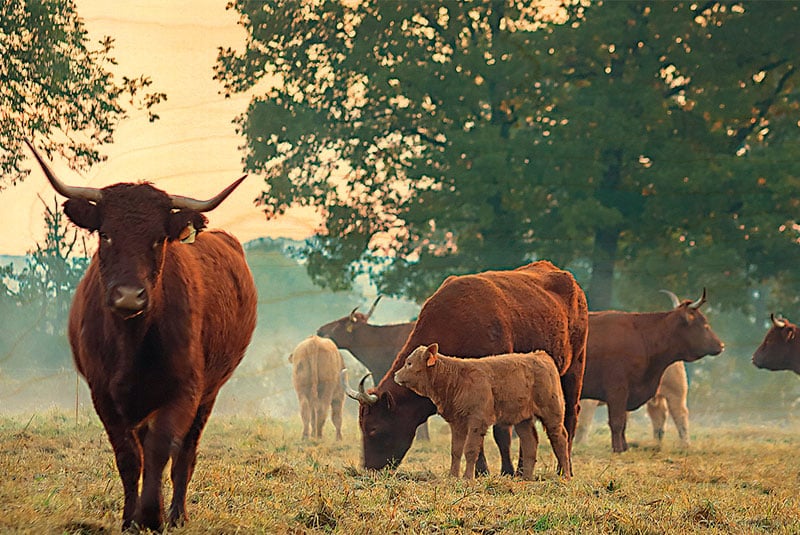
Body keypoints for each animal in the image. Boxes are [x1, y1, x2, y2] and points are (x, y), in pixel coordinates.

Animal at [26, 140, 257, 531]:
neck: (131, 342)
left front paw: (152, 515)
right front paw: (130, 519)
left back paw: (177, 514)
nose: (128, 296)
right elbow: (128, 457)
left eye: (158, 240)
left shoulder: (185, 390)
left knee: (185, 454)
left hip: (209, 393)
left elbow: (162, 450)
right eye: (106, 234)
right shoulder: (103, 395)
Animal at [394, 344, 571, 480]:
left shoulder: (477, 421)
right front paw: (452, 476)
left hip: (552, 414)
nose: (396, 375)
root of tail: (540, 355)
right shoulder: (457, 423)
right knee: (530, 442)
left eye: (409, 363)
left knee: (560, 439)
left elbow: (471, 450)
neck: (457, 378)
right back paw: (527, 478)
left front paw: (467, 478)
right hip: (523, 420)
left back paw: (565, 476)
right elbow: (456, 451)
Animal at [579, 289, 724, 453]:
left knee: (676, 415)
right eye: (704, 325)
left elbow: (620, 423)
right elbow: (614, 423)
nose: (721, 345)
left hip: (674, 393)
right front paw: (618, 449)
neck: (643, 337)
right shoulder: (616, 392)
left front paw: (623, 448)